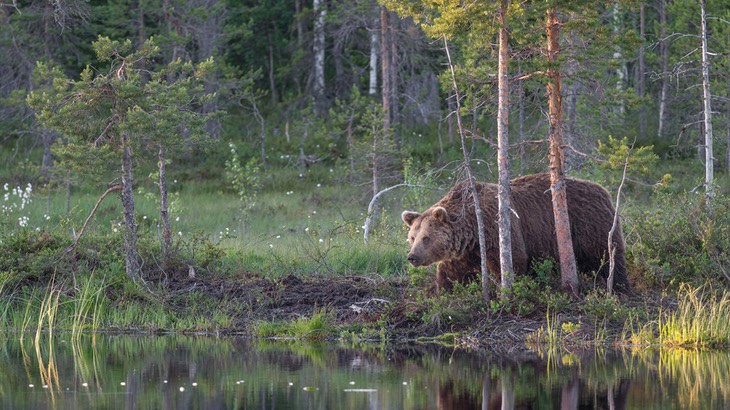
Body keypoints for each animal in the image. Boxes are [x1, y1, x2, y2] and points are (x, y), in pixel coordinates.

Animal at [400, 173, 628, 292]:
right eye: (412, 237)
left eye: (426, 238)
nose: (412, 257)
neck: (473, 228)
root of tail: (604, 191)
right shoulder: (467, 250)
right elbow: (451, 272)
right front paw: (443, 290)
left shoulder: (497, 230)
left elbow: (513, 263)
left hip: (589, 226)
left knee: (607, 257)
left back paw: (618, 285)